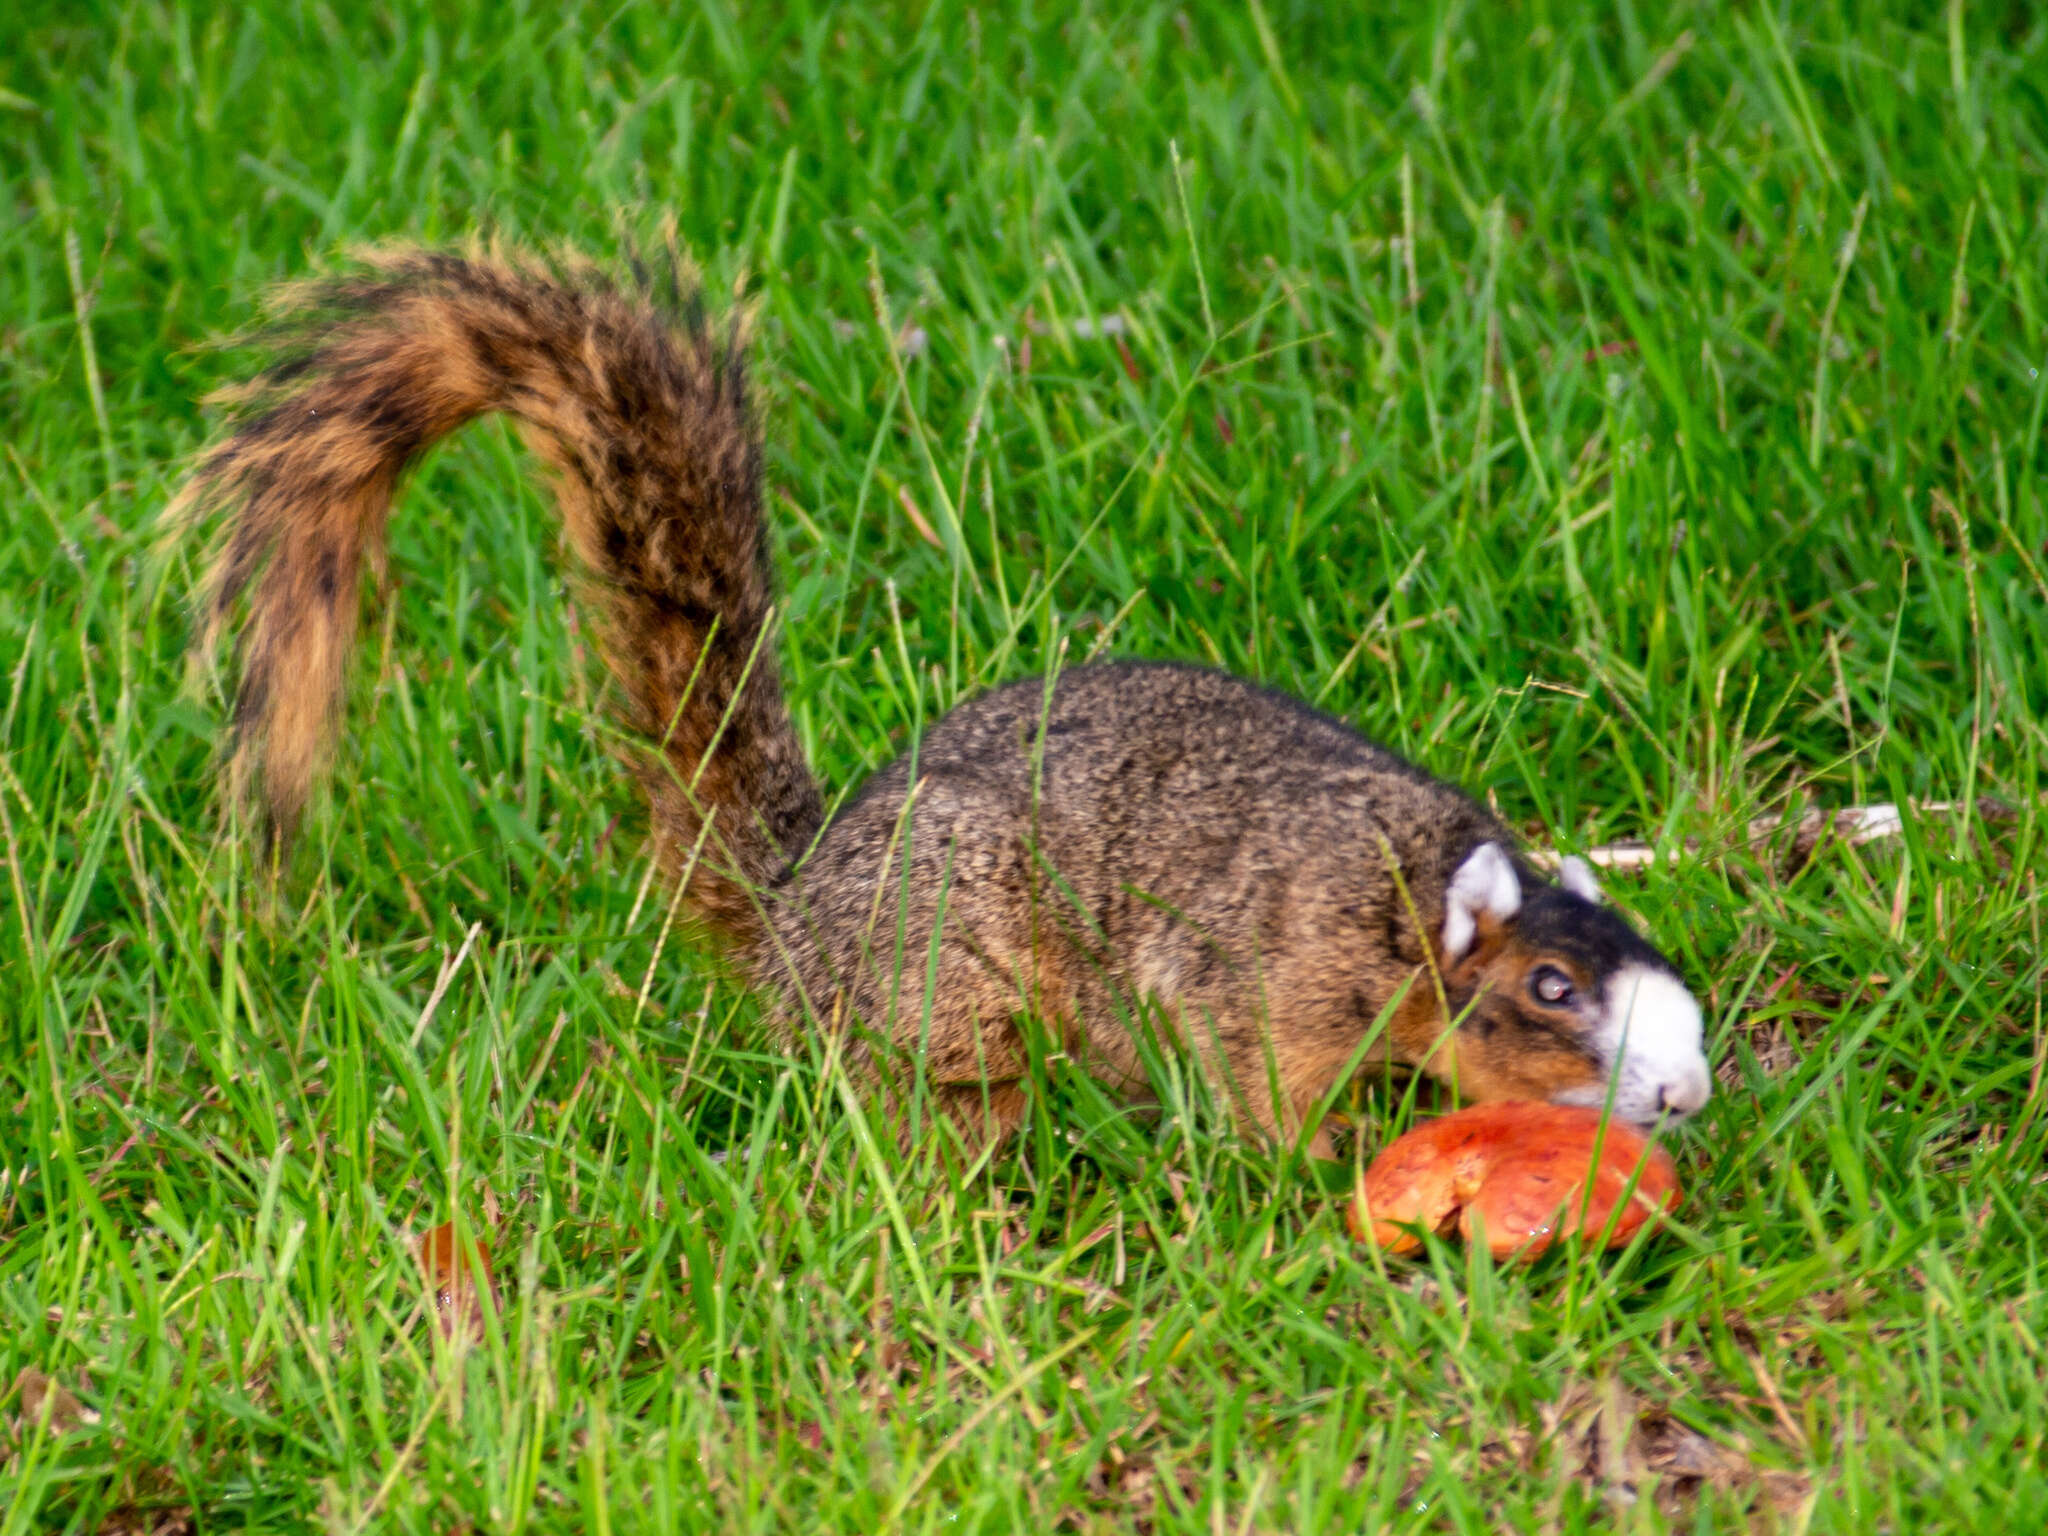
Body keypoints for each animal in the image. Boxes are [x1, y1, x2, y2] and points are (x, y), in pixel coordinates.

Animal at [172, 249, 1712, 1155]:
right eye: (1547, 990)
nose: (1687, 1093)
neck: (1405, 893)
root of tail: (791, 908)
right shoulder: (1268, 968)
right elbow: (1261, 1083)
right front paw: (1307, 1181)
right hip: (943, 971)